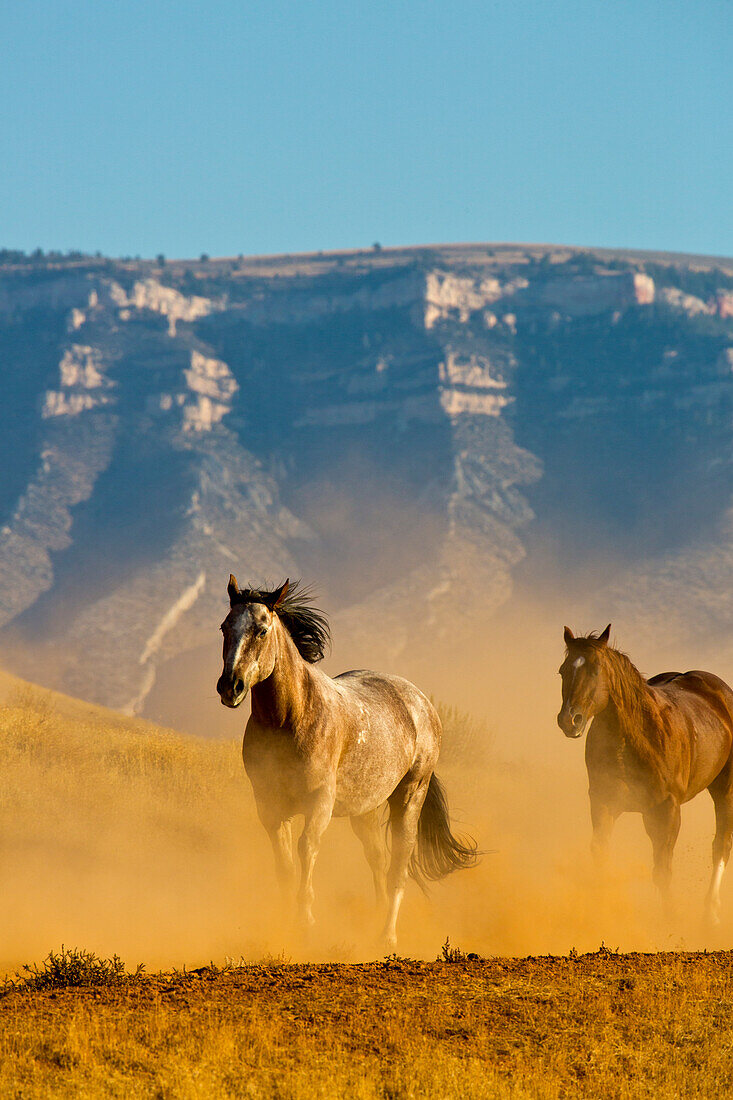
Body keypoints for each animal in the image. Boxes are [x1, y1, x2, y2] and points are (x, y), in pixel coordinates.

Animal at [214, 576, 477, 946]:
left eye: (262, 630)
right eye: (225, 627)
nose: (230, 687)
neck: (290, 719)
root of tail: (422, 703)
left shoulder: (319, 803)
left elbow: (306, 849)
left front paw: (306, 920)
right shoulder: (269, 805)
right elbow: (284, 865)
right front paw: (285, 926)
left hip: (409, 797)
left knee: (399, 865)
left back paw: (387, 937)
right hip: (365, 810)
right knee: (378, 860)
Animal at [556, 629, 730, 919]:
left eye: (595, 669)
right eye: (562, 671)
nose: (569, 720)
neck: (635, 738)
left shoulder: (667, 810)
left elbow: (663, 870)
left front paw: (670, 918)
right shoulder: (604, 803)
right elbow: (600, 856)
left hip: (724, 789)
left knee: (721, 844)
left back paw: (710, 913)